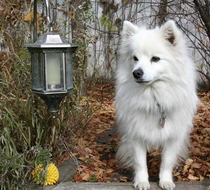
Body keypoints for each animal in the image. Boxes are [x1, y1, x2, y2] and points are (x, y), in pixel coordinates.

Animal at [115, 20, 199, 189]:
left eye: (155, 59)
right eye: (135, 58)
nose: (136, 73)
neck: (154, 98)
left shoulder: (173, 136)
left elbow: (166, 162)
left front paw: (165, 181)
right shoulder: (136, 134)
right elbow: (140, 162)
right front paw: (142, 181)